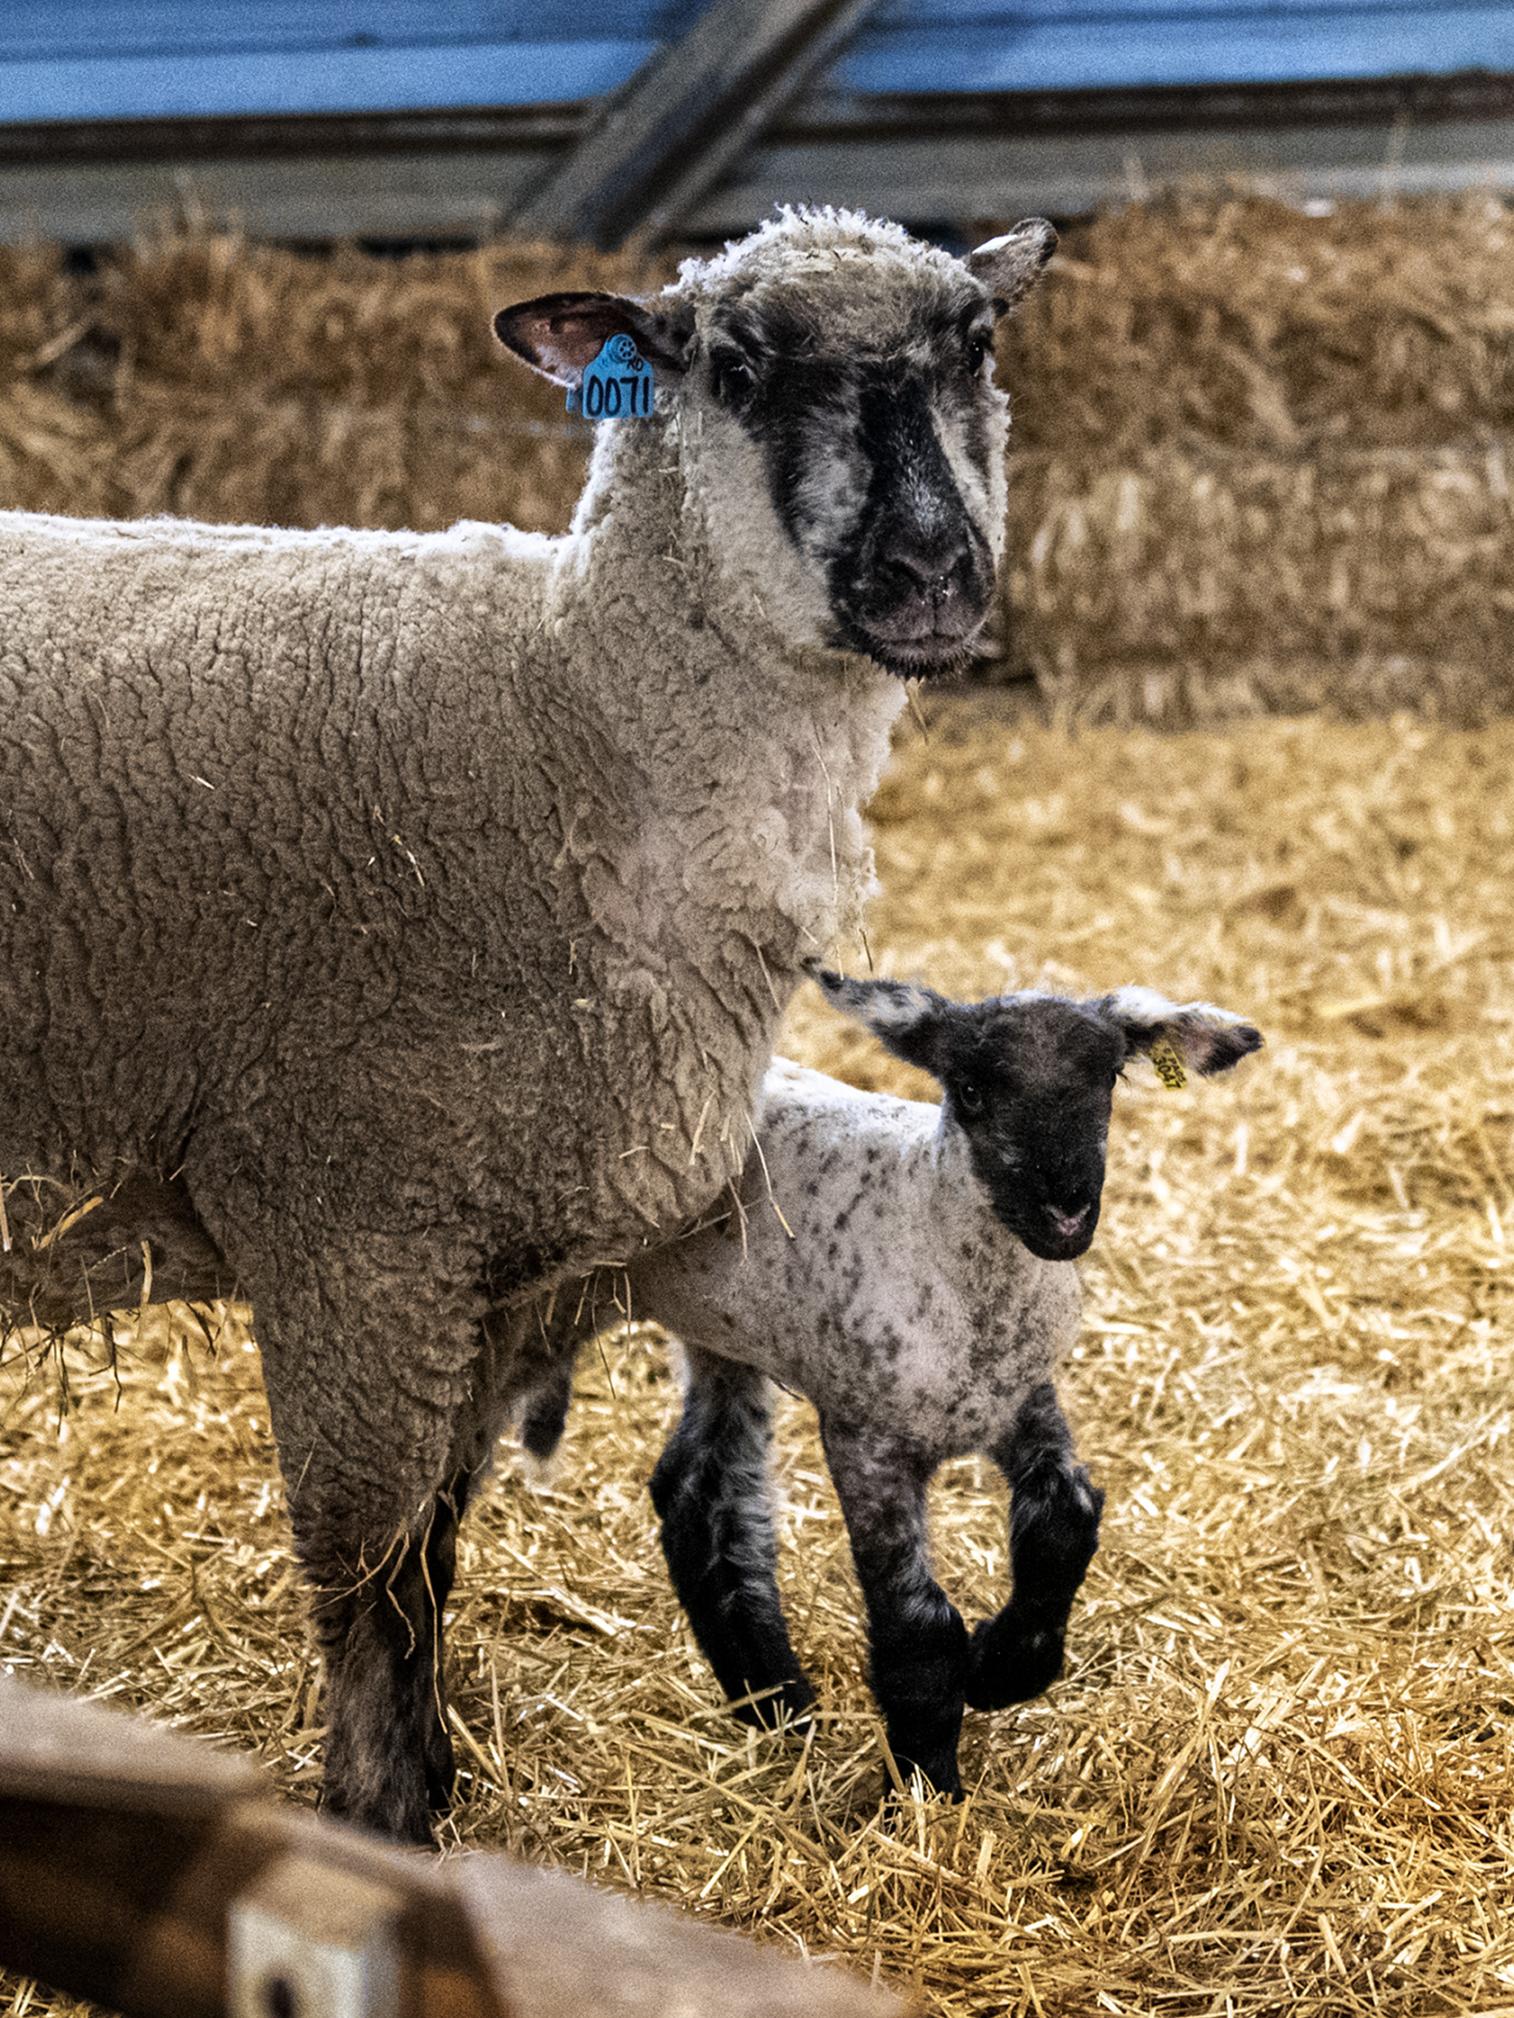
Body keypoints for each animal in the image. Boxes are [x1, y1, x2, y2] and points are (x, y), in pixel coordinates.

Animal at [0, 208, 1058, 1841]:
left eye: (977, 343)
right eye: (735, 367)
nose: (931, 572)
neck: (574, 718)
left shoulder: (487, 1269)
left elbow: (437, 1545)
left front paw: (429, 1791)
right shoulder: (351, 1225)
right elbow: (371, 1572)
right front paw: (380, 1818)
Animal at [523, 970, 1263, 1797]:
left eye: (1107, 1079)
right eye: (970, 1090)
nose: (1066, 1211)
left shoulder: (1024, 1399)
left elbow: (1062, 1525)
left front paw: (1004, 1670)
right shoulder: (865, 1436)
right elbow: (917, 1621)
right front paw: (927, 1782)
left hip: (724, 1329)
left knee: (697, 1491)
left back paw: (775, 1701)